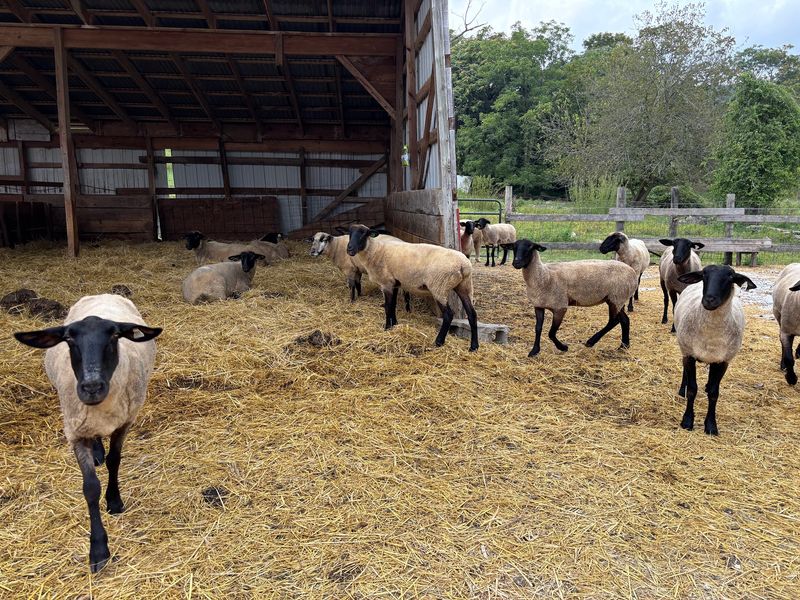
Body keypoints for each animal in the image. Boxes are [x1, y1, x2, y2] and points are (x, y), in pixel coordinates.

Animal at [13, 294, 162, 572]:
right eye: (69, 339)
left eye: (114, 336)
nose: (91, 387)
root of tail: (104, 295)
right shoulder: (76, 432)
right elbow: (90, 488)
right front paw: (99, 549)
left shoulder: (124, 422)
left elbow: (115, 461)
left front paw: (114, 501)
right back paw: (96, 452)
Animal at [346, 224, 479, 351]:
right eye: (349, 233)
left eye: (364, 233)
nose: (349, 249)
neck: (375, 252)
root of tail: (463, 265)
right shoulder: (394, 284)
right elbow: (393, 305)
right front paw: (394, 324)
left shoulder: (386, 283)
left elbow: (388, 307)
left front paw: (387, 328)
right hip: (464, 286)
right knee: (472, 314)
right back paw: (474, 346)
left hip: (439, 287)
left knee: (448, 314)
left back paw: (439, 342)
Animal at [504, 239, 638, 357]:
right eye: (514, 247)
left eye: (531, 247)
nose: (516, 263)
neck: (544, 275)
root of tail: (632, 272)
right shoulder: (539, 305)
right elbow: (538, 328)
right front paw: (534, 351)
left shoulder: (560, 307)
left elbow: (551, 333)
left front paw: (563, 347)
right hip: (616, 299)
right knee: (624, 320)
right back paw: (624, 345)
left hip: (617, 297)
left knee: (614, 321)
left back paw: (591, 341)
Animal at [673, 265, 756, 435]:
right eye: (704, 275)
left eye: (731, 278)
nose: (709, 299)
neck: (711, 334)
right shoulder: (689, 355)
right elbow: (692, 390)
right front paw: (687, 421)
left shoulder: (723, 361)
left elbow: (713, 393)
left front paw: (711, 425)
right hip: (684, 347)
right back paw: (682, 388)